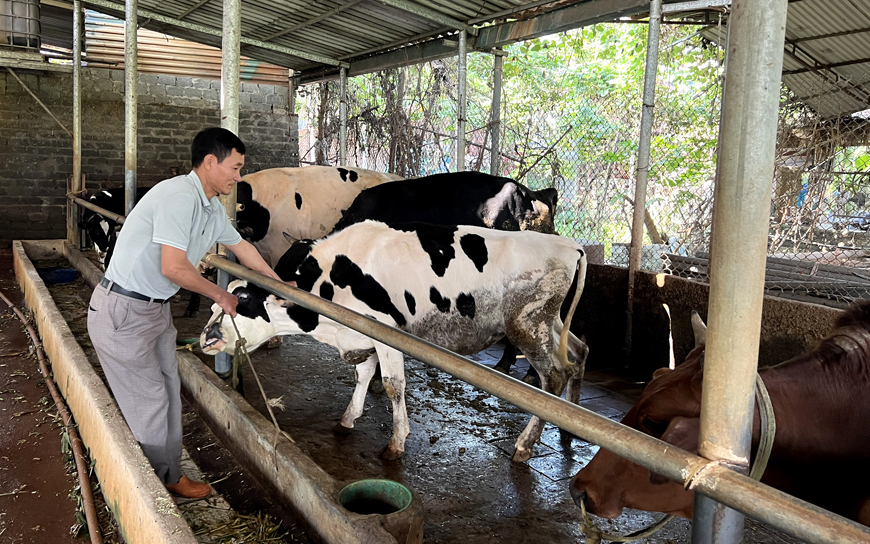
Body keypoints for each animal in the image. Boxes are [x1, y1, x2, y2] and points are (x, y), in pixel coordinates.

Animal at [201, 221, 588, 464]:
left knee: (552, 378)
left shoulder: (386, 334)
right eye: (216, 302)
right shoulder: (360, 336)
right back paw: (568, 431)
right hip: (549, 323)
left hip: (526, 323)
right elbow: (362, 376)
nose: (206, 337)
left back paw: (524, 446)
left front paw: (396, 443)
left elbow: (392, 385)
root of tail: (569, 244)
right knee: (578, 354)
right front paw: (347, 419)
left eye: (242, 301)